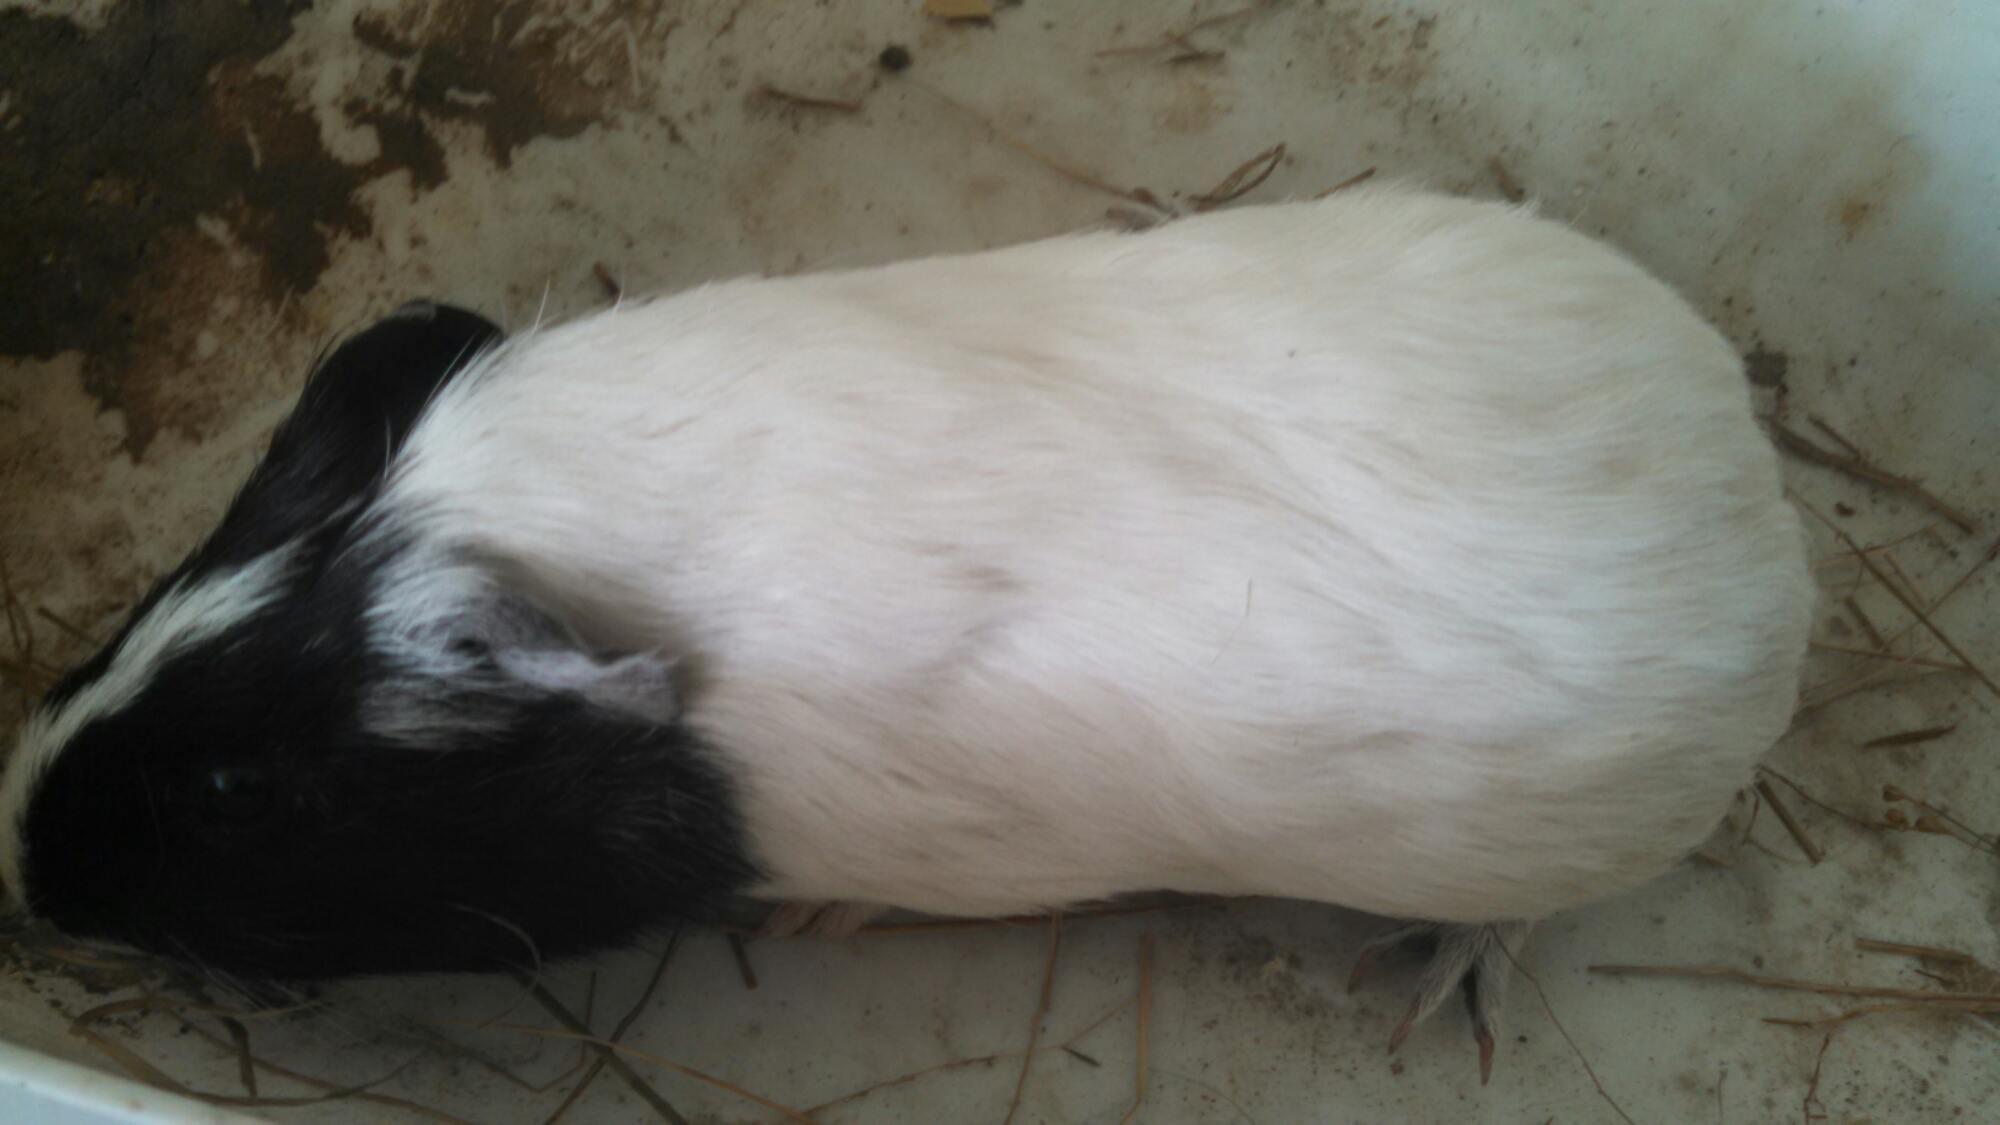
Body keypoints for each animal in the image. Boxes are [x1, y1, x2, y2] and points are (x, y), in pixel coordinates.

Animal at [0, 186, 1813, 1079]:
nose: (21, 847)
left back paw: (1433, 993)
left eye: (244, 793)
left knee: (1514, 927)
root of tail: (1756, 497)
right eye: (163, 598)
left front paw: (824, 923)